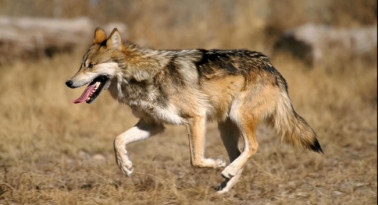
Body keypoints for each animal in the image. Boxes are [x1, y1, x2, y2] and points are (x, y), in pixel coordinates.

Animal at [65, 27, 322, 194]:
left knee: (253, 147)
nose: (68, 82)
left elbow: (195, 160)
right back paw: (224, 186)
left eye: (90, 66)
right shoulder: (153, 125)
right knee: (239, 154)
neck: (143, 76)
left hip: (238, 117)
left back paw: (226, 171)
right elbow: (117, 140)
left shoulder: (196, 118)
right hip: (225, 128)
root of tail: (272, 67)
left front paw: (215, 164)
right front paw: (125, 166)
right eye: (81, 65)